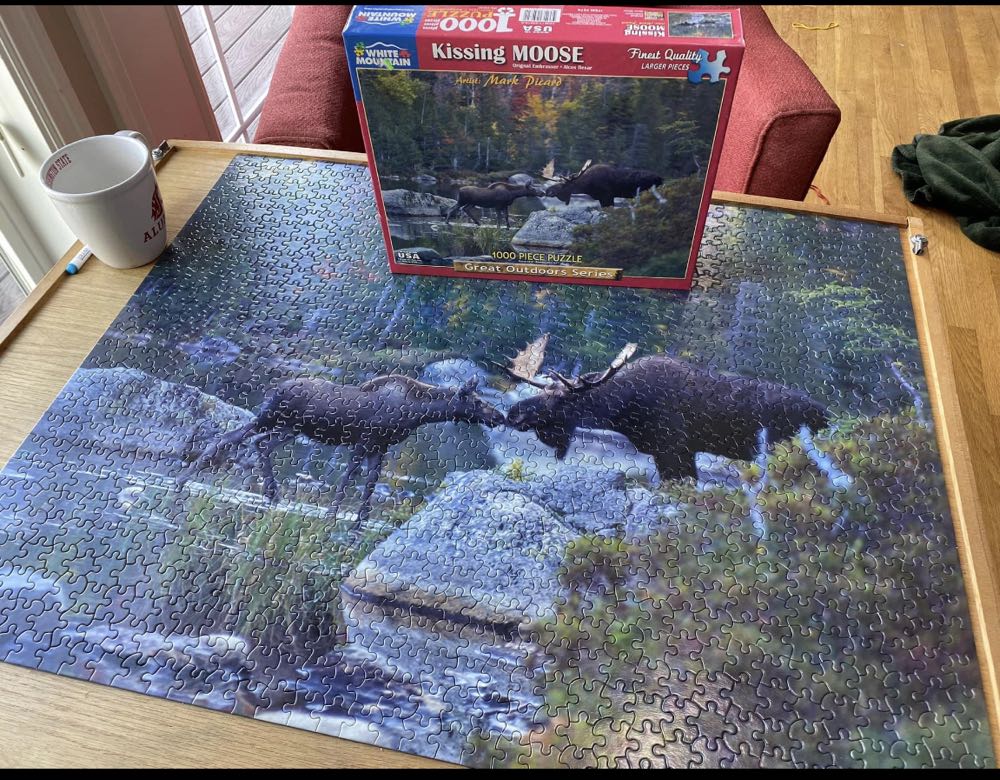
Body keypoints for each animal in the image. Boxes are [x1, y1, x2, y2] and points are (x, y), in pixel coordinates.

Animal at [175, 374, 506, 528]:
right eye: (476, 401)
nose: (499, 416)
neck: (417, 412)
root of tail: (276, 388)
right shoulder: (363, 442)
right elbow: (348, 478)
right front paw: (334, 514)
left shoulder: (379, 447)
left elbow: (369, 484)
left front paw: (360, 521)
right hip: (270, 417)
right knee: (228, 438)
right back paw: (182, 480)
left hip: (289, 429)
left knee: (260, 444)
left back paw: (272, 493)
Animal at [496, 335, 829, 482]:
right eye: (543, 390)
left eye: (562, 399)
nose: (514, 413)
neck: (623, 412)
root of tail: (828, 415)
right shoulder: (670, 453)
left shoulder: (674, 450)